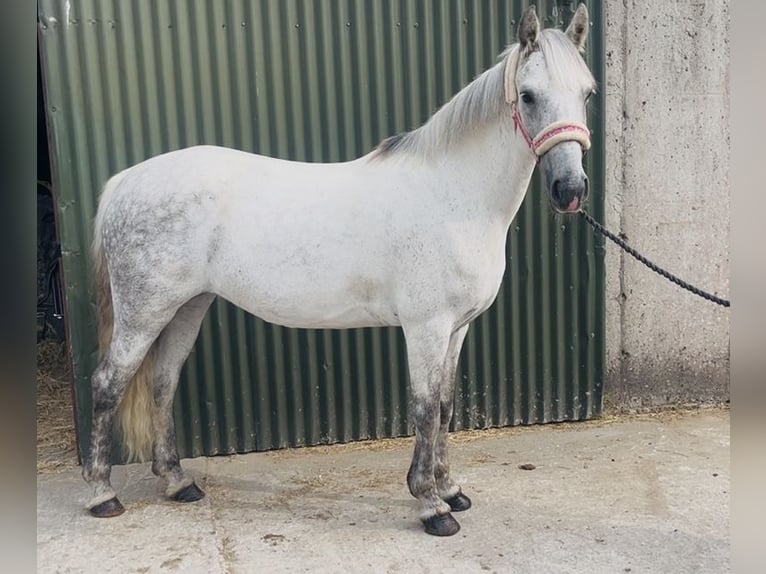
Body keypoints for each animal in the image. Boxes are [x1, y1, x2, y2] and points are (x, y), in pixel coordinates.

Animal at [82, 4, 596, 537]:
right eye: (528, 95)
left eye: (587, 93)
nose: (570, 189)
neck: (454, 194)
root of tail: (124, 182)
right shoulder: (426, 328)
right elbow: (425, 409)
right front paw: (431, 505)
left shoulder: (457, 328)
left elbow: (446, 406)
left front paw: (451, 490)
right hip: (144, 311)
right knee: (108, 384)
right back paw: (103, 495)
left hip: (187, 307)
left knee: (162, 383)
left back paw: (179, 483)